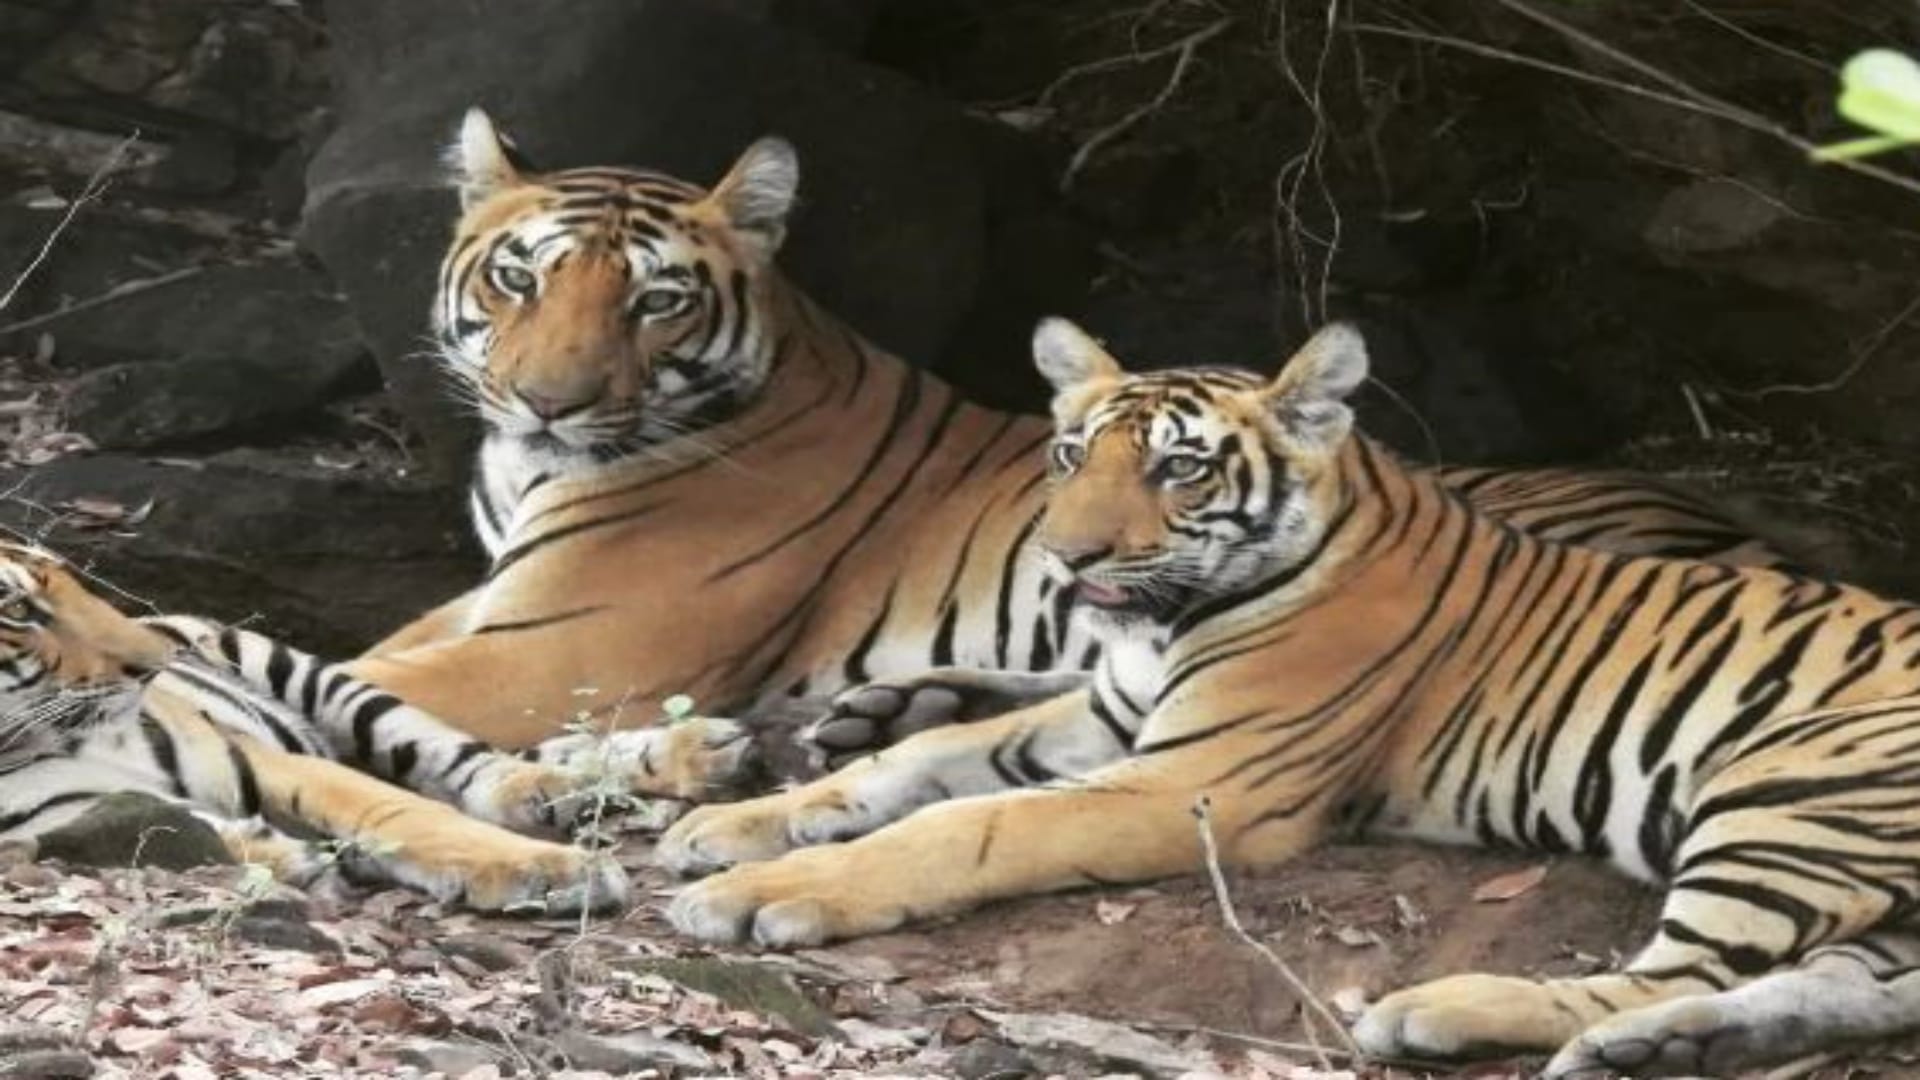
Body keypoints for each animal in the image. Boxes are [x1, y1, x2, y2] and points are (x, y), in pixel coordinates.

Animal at [0, 541, 627, 914]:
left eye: (69, 581)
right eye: (19, 611)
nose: (154, 662)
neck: (12, 745)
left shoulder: (249, 757)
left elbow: (407, 812)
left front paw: (561, 871)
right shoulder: (62, 815)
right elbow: (177, 828)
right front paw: (285, 856)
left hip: (311, 677)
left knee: (448, 753)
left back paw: (545, 791)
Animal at [331, 107, 1802, 803]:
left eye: (654, 301)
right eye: (520, 278)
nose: (549, 401)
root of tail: (1741, 529)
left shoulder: (567, 642)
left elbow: (359, 667)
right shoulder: (493, 600)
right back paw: (880, 709)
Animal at [657, 318, 1920, 1078]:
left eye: (1178, 467)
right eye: (1070, 456)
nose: (1065, 559)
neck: (1171, 620)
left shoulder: (1198, 781)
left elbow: (970, 824)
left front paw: (764, 892)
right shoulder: (1109, 717)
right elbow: (911, 767)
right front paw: (735, 822)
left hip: (1793, 793)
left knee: (1676, 970)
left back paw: (1454, 1013)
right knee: (1839, 988)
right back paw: (1670, 1047)